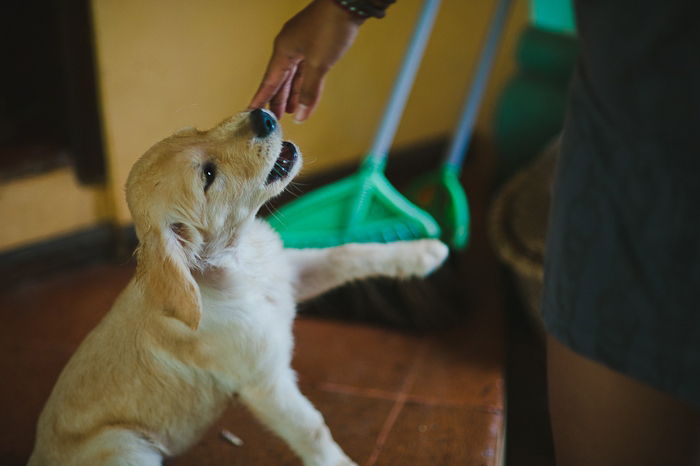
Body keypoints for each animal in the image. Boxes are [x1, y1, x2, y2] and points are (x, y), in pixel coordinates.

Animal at [28, 110, 448, 466]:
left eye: (196, 130)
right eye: (208, 176)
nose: (263, 115)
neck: (238, 263)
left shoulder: (289, 274)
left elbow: (347, 254)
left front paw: (422, 252)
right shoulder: (265, 381)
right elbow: (312, 428)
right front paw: (338, 462)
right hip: (125, 447)